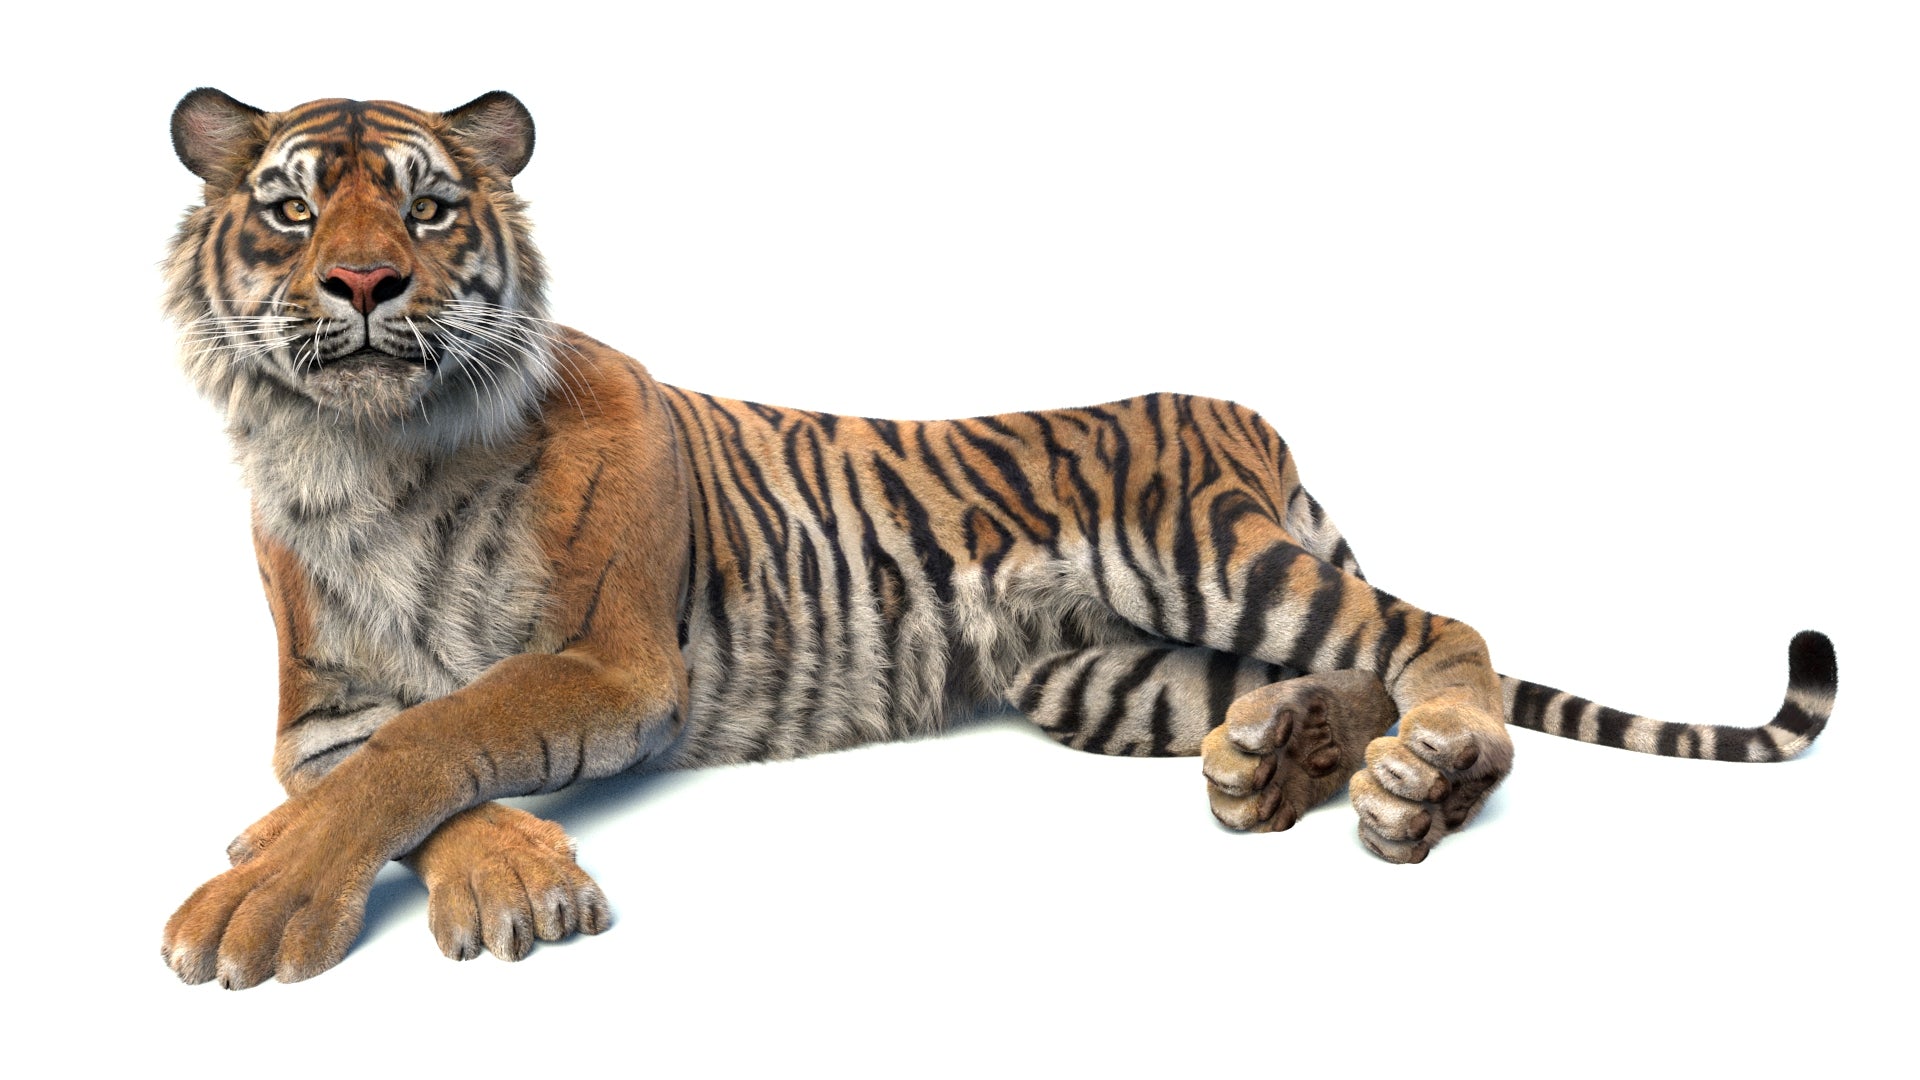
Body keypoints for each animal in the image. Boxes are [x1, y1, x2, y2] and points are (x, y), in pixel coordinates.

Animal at [159, 88, 1839, 989]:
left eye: (431, 209)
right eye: (295, 211)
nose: (366, 283)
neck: (374, 458)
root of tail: (1248, 420)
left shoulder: (612, 658)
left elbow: (446, 736)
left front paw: (253, 907)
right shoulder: (322, 713)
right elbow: (398, 765)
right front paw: (473, 879)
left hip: (1210, 550)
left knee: (1445, 637)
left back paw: (1425, 782)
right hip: (1099, 670)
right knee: (1326, 679)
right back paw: (1275, 761)